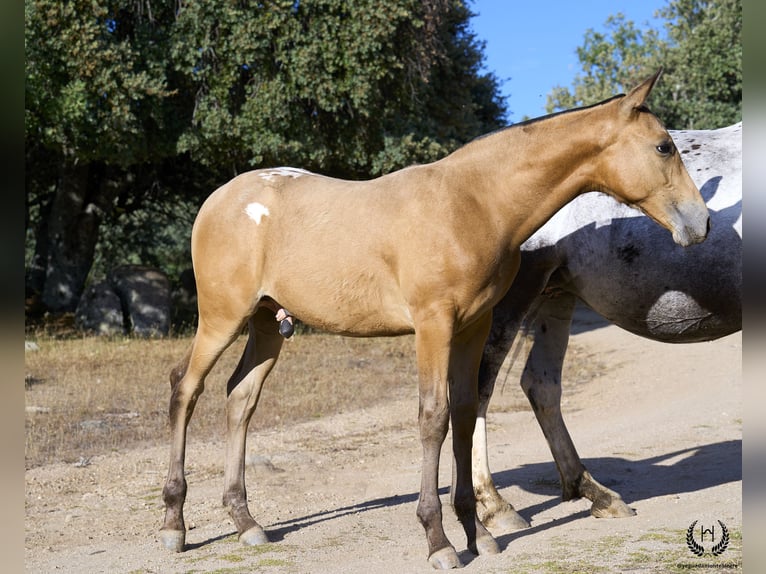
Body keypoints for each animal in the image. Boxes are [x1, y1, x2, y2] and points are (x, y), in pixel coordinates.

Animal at [159, 72, 712, 572]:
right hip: (223, 318)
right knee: (186, 388)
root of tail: (218, 199)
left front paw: (477, 532)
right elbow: (433, 418)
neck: (475, 203)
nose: (701, 223)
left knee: (240, 398)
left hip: (266, 324)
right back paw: (174, 525)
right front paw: (439, 541)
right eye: (664, 147)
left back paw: (246, 522)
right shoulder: (433, 327)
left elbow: (465, 412)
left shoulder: (472, 326)